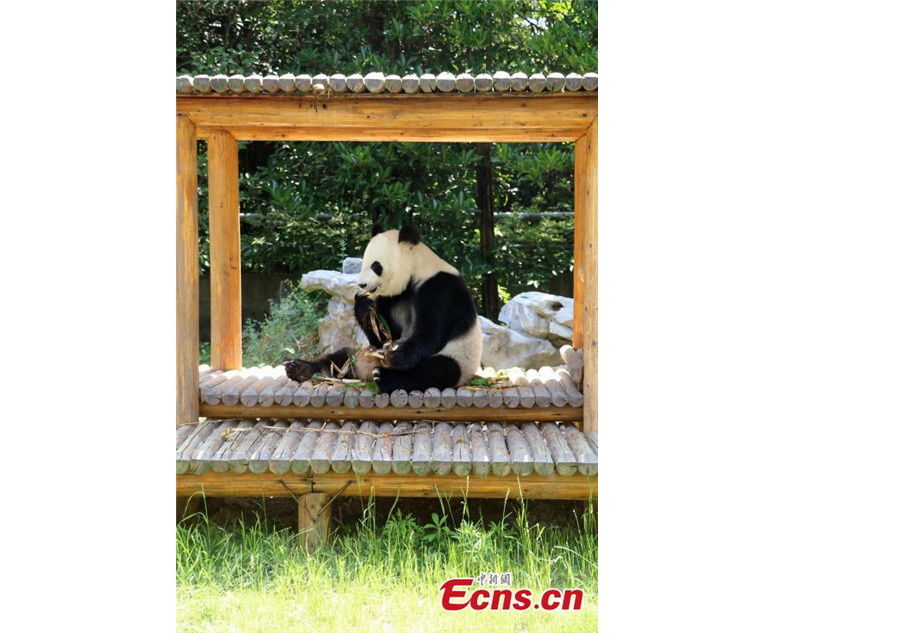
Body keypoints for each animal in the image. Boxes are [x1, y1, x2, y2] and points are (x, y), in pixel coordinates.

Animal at [288, 220, 486, 392]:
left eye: (376, 266)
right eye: (363, 263)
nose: (362, 285)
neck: (417, 271)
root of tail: (365, 371)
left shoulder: (440, 288)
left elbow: (431, 333)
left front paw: (397, 355)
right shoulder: (391, 298)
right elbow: (386, 335)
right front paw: (364, 305)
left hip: (461, 357)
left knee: (439, 370)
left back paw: (384, 377)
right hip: (360, 353)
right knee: (341, 357)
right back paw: (300, 368)